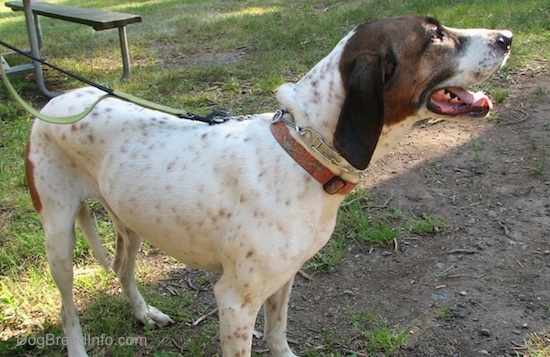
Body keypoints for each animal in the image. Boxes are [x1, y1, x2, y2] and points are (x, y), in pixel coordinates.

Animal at [23, 14, 512, 356]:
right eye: (435, 36)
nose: (507, 37)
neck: (304, 153)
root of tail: (56, 102)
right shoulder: (235, 302)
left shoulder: (284, 278)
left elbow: (277, 335)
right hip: (58, 239)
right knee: (68, 310)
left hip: (132, 223)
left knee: (124, 270)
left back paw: (144, 313)